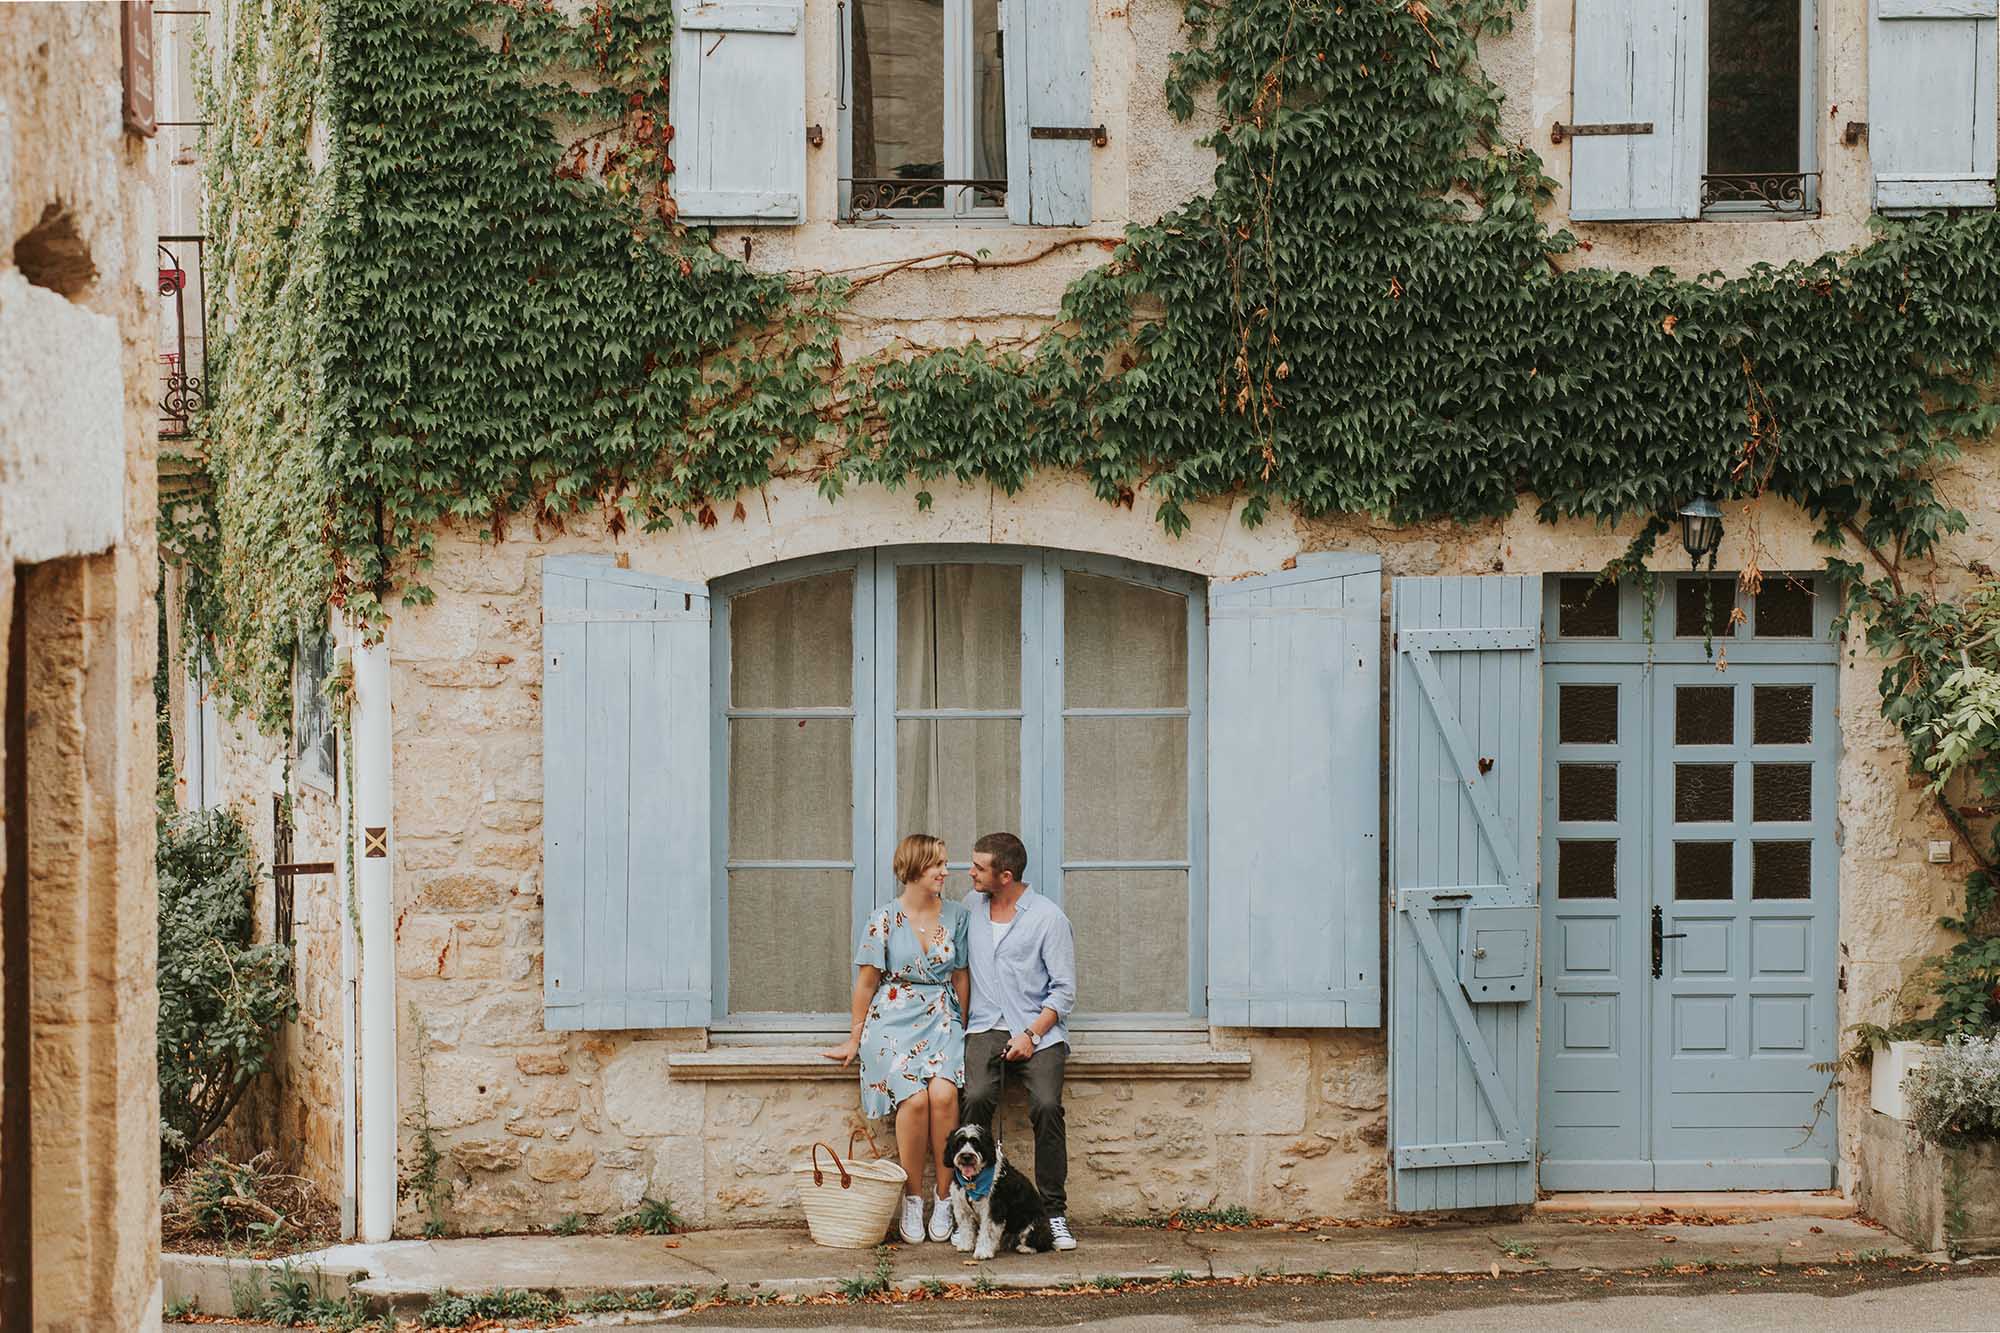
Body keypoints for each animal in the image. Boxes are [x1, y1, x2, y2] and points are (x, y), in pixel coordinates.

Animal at [944, 1120, 1056, 1256]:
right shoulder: (962, 1208)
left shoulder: (993, 1208)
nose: (966, 1156)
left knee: (1042, 1243)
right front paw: (966, 1245)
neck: (973, 1180)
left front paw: (983, 1252)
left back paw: (1026, 1248)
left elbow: (987, 1231)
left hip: (1033, 1224)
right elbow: (966, 1228)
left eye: (976, 1143)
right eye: (959, 1142)